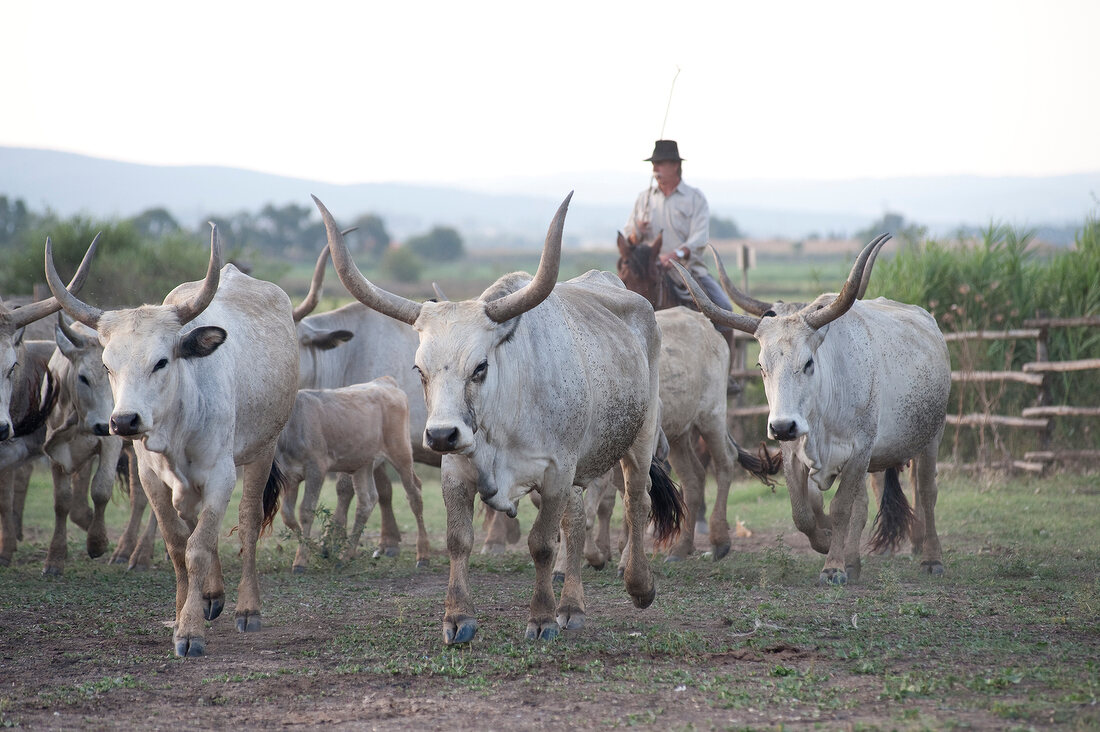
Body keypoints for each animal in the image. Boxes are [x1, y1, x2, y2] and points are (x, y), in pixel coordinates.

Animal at [45, 224, 299, 656]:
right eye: (108, 366)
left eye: (161, 361)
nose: (124, 420)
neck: (178, 422)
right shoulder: (152, 478)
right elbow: (179, 544)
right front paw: (184, 613)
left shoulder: (220, 476)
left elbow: (198, 545)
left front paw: (190, 631)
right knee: (196, 525)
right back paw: (212, 594)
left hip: (262, 450)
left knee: (247, 521)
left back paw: (247, 607)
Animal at [277, 376, 426, 572]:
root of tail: (385, 382)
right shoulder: (289, 476)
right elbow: (287, 514)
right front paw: (318, 550)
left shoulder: (316, 468)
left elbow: (306, 511)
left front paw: (301, 560)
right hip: (363, 463)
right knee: (367, 500)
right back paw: (345, 556)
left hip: (401, 452)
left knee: (414, 494)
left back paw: (423, 555)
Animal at [314, 191, 682, 642]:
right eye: (419, 369)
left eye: (480, 366)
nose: (441, 435)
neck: (505, 418)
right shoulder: (457, 471)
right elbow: (459, 540)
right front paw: (458, 617)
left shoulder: (556, 472)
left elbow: (542, 543)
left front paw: (541, 618)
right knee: (577, 524)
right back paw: (572, 607)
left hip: (641, 436)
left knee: (636, 499)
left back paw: (638, 585)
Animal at [673, 236, 950, 585]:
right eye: (761, 366)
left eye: (808, 363)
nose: (782, 426)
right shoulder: (794, 453)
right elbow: (803, 512)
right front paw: (829, 543)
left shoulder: (859, 450)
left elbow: (841, 508)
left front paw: (833, 567)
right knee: (866, 503)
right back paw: (853, 561)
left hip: (931, 437)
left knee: (927, 492)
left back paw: (932, 558)